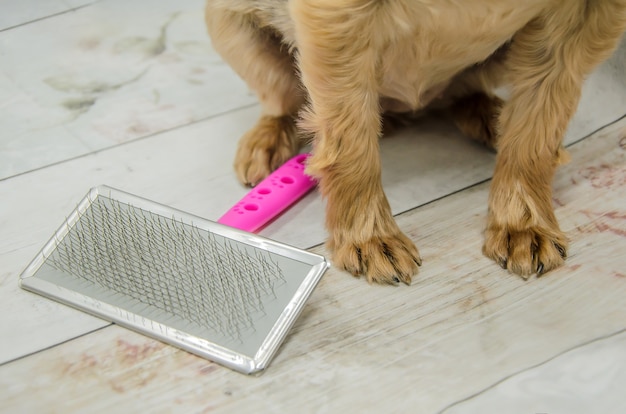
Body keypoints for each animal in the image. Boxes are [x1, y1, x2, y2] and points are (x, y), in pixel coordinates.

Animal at [205, 0, 624, 284]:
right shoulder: (337, 18)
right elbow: (350, 141)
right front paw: (369, 235)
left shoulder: (589, 14)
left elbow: (537, 128)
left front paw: (524, 223)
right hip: (231, 24)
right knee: (284, 99)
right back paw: (269, 139)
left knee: (464, 93)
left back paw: (489, 116)